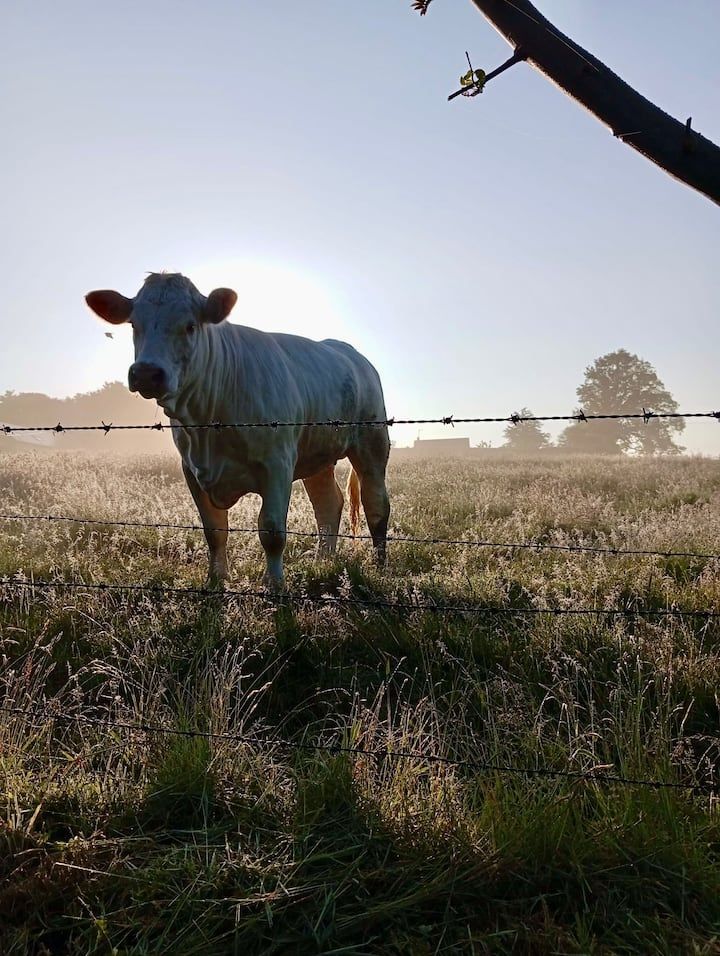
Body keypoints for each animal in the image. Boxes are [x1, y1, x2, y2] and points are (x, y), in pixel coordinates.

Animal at [85, 272, 390, 588]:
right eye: (134, 324)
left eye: (190, 325)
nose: (146, 373)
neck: (208, 428)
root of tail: (352, 353)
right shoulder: (191, 469)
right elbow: (214, 530)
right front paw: (216, 580)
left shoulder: (277, 464)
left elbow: (271, 530)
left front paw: (274, 584)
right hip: (318, 455)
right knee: (328, 504)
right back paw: (323, 562)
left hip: (372, 442)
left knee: (376, 504)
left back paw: (379, 566)